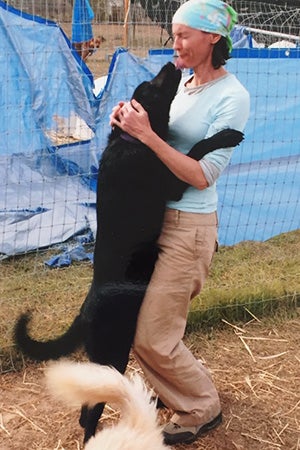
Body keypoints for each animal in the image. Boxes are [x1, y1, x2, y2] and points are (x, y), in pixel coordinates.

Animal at [14, 62, 244, 442]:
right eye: (151, 86)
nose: (170, 63)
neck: (131, 140)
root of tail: (85, 311)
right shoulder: (174, 184)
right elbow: (196, 149)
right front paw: (225, 136)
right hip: (114, 354)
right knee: (90, 412)